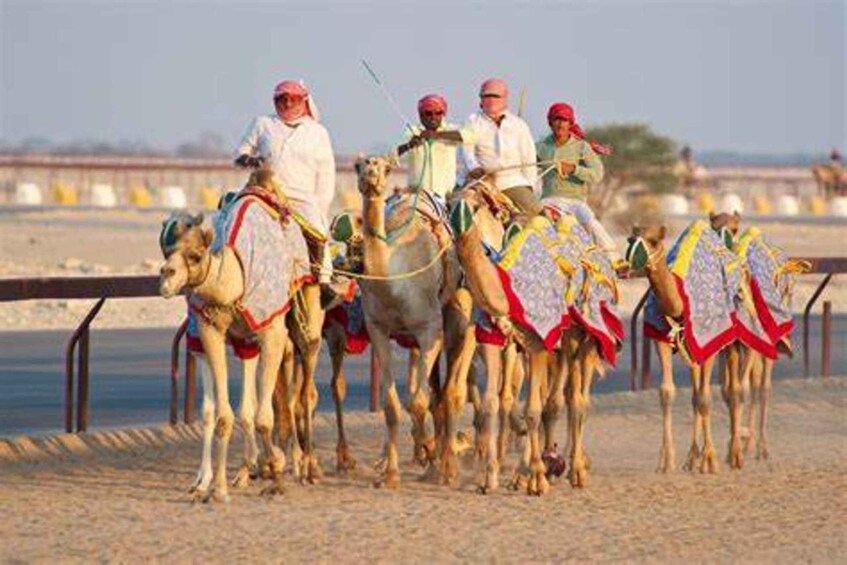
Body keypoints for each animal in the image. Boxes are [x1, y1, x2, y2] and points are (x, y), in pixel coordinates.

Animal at [352, 155, 470, 490]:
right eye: (359, 165)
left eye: (386, 168)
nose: (370, 176)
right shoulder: (378, 329)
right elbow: (394, 405)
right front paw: (391, 474)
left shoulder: (430, 329)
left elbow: (417, 402)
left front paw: (429, 451)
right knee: (433, 392)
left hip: (459, 315)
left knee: (452, 392)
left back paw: (449, 465)